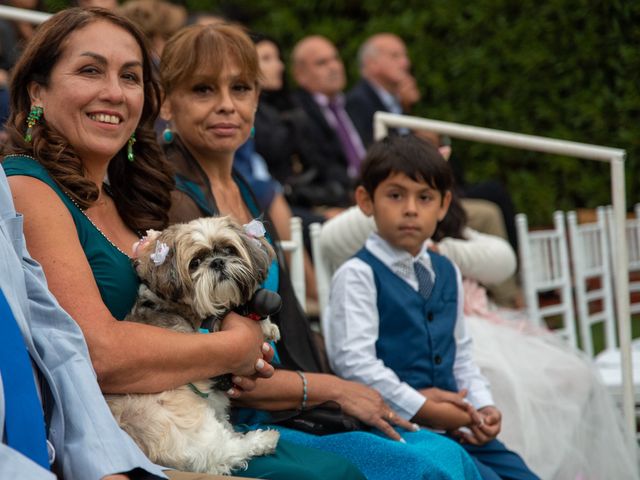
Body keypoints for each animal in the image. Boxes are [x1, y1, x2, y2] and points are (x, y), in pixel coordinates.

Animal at [106, 216, 282, 474]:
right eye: (195, 262)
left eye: (228, 250)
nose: (217, 262)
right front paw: (263, 326)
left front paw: (267, 325)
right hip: (189, 429)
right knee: (224, 451)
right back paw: (264, 439)